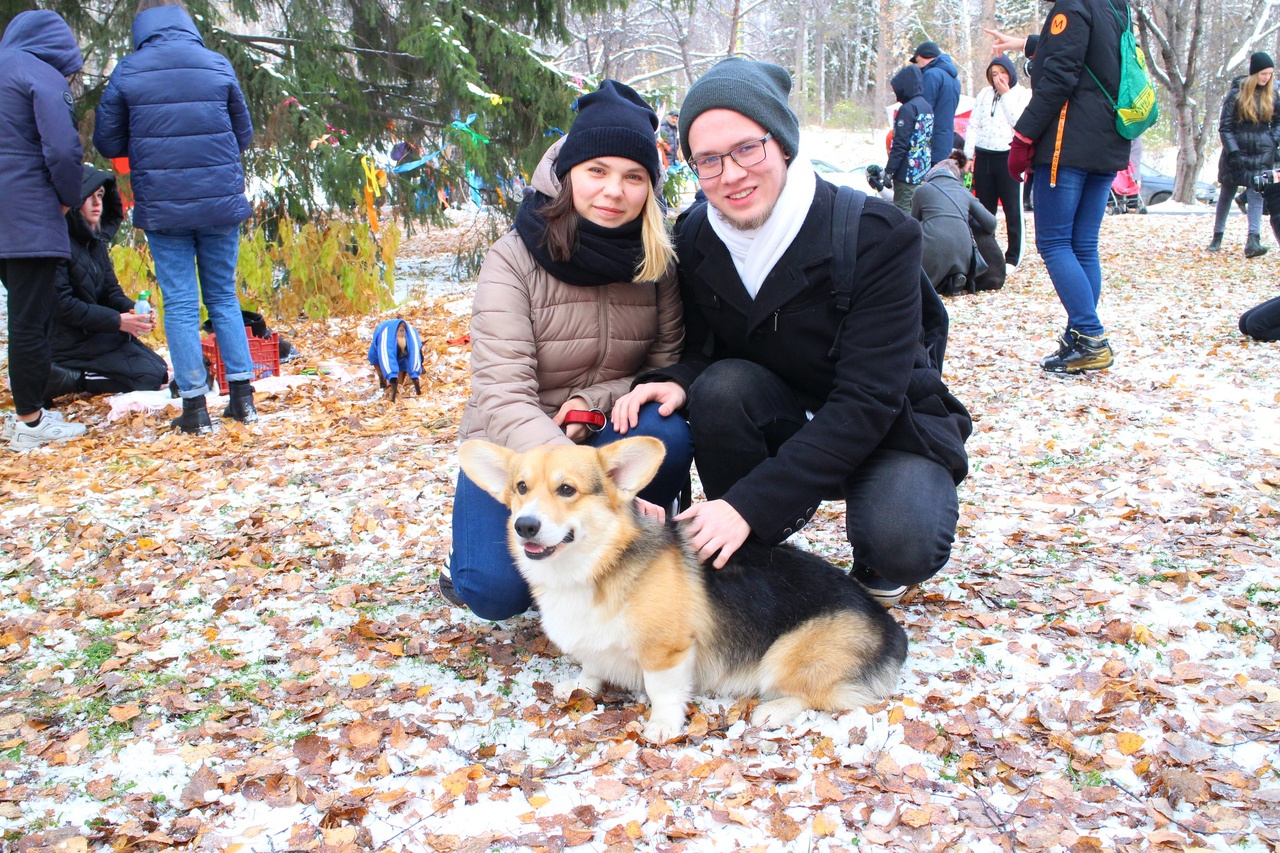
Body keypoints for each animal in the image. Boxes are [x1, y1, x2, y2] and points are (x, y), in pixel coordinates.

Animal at [460, 435, 911, 742]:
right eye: (521, 488)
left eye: (567, 489)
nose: (525, 526)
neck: (594, 568)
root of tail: (889, 628)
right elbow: (591, 664)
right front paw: (582, 685)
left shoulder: (667, 650)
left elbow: (663, 690)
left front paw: (662, 726)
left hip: (785, 653)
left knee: (814, 694)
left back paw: (773, 711)